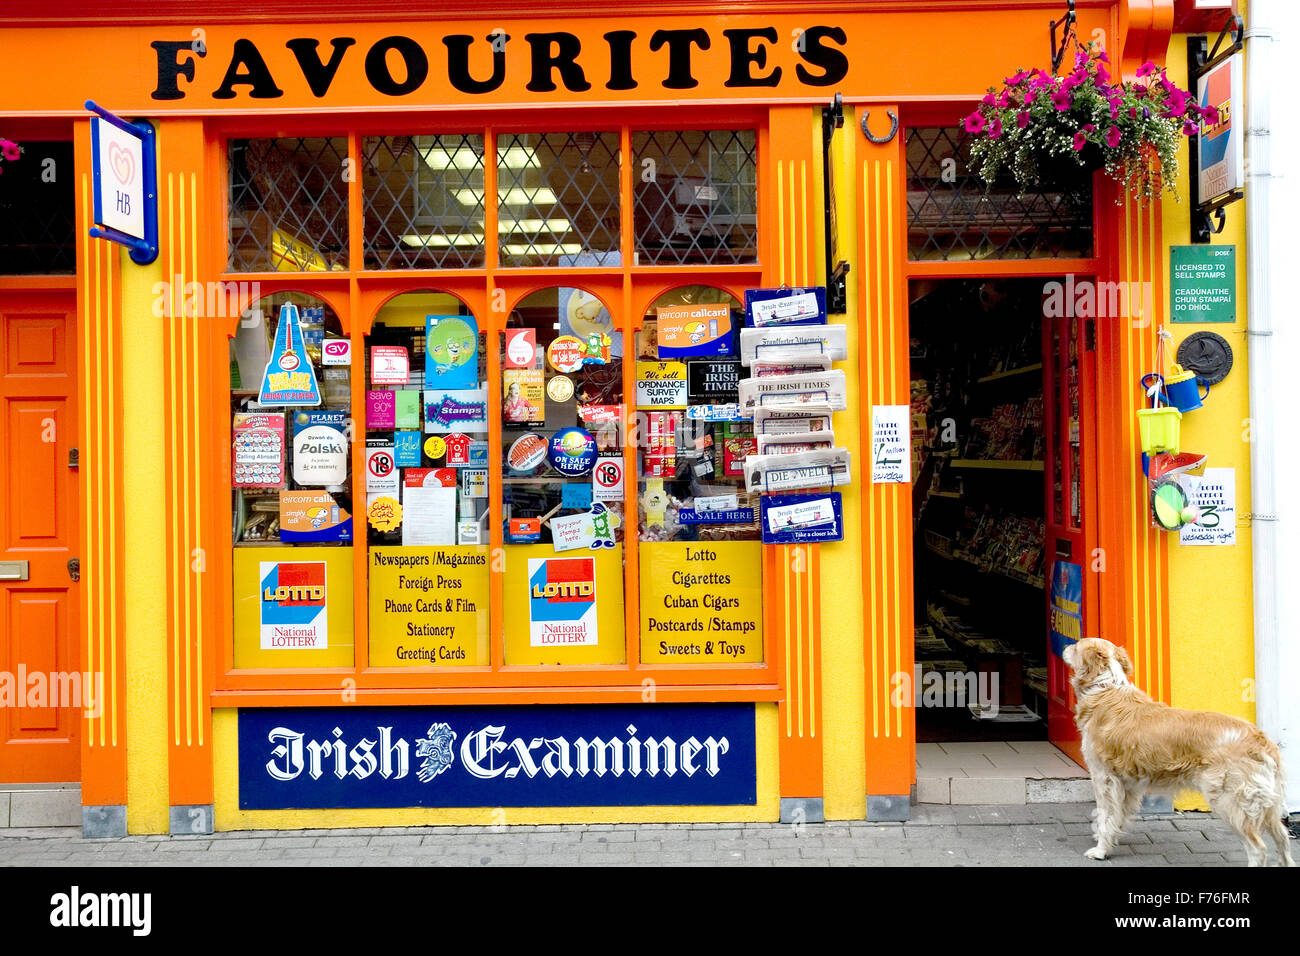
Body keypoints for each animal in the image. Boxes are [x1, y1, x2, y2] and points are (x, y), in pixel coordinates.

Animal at [1060, 642, 1294, 868]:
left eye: (1076, 645)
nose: (1065, 646)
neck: (1105, 687)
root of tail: (1262, 740)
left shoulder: (1104, 778)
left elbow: (1104, 816)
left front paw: (1100, 851)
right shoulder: (1128, 785)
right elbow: (1116, 818)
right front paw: (1110, 841)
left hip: (1230, 802)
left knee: (1258, 848)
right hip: (1269, 807)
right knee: (1283, 839)